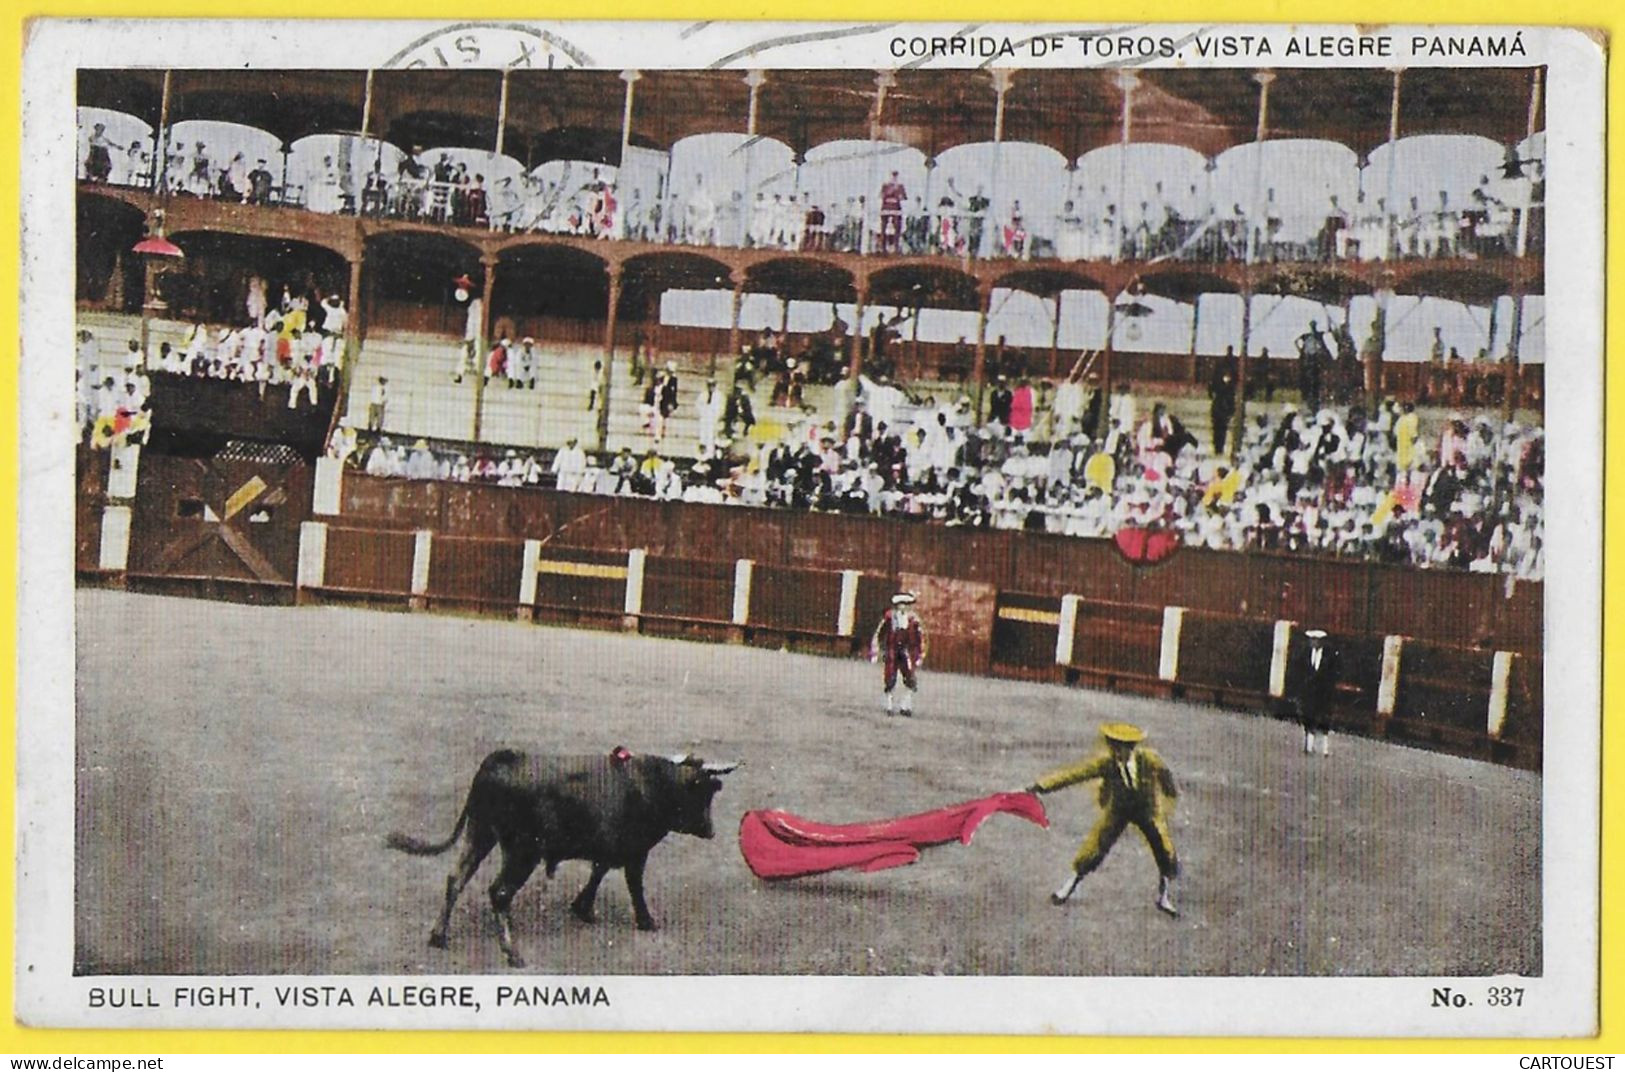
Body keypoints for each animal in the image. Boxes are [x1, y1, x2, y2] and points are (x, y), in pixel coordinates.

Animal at [386, 750, 737, 968]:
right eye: (703, 793)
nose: (711, 831)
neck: (653, 784)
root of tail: (503, 758)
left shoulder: (609, 848)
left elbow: (598, 872)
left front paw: (583, 908)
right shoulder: (636, 852)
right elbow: (634, 886)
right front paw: (647, 921)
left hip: (480, 833)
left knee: (456, 879)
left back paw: (438, 937)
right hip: (522, 852)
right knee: (499, 892)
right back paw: (512, 952)